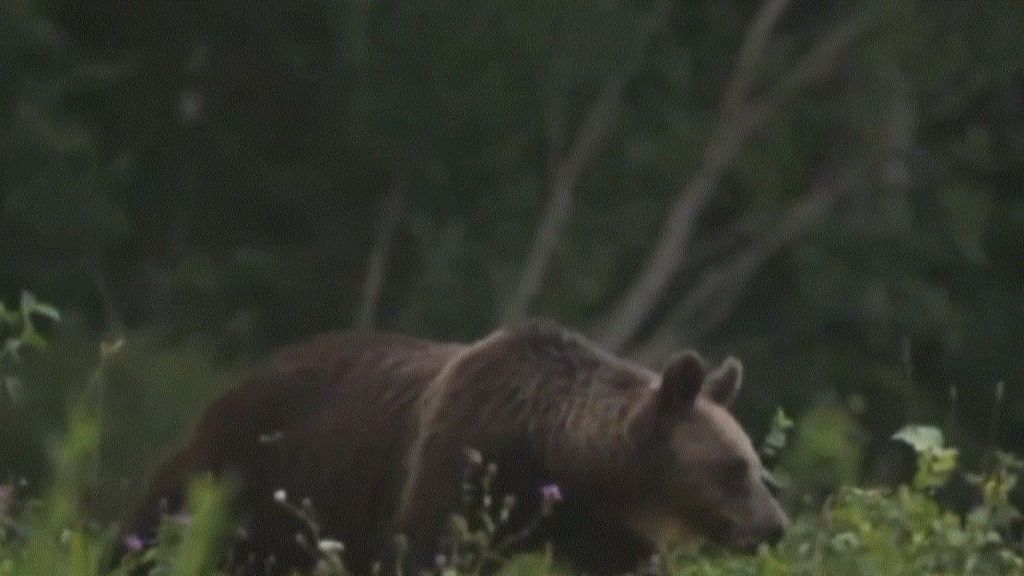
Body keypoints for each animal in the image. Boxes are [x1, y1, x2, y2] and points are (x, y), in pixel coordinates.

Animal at [132, 319, 786, 569]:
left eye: (757, 466)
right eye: (733, 467)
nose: (774, 526)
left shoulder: (597, 528)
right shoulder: (460, 460)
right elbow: (427, 548)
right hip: (241, 467)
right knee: (156, 519)